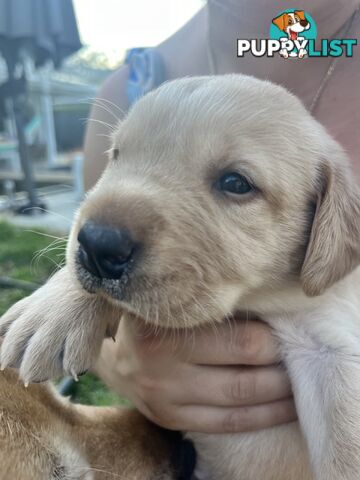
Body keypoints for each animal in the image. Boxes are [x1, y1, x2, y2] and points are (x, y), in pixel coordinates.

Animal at [0, 75, 360, 480]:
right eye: (117, 154)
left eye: (236, 182)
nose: (97, 245)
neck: (258, 303)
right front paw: (53, 311)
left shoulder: (331, 351)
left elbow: (345, 447)